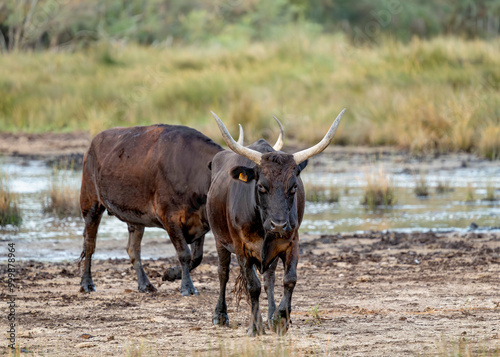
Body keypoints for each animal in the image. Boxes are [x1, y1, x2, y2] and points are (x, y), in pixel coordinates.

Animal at [207, 108, 344, 334]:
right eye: (261, 186)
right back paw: (220, 314)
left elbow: (289, 279)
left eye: (294, 187)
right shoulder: (241, 246)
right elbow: (252, 285)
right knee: (223, 272)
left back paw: (270, 316)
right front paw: (255, 327)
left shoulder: (291, 241)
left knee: (269, 277)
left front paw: (280, 317)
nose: (278, 225)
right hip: (221, 241)